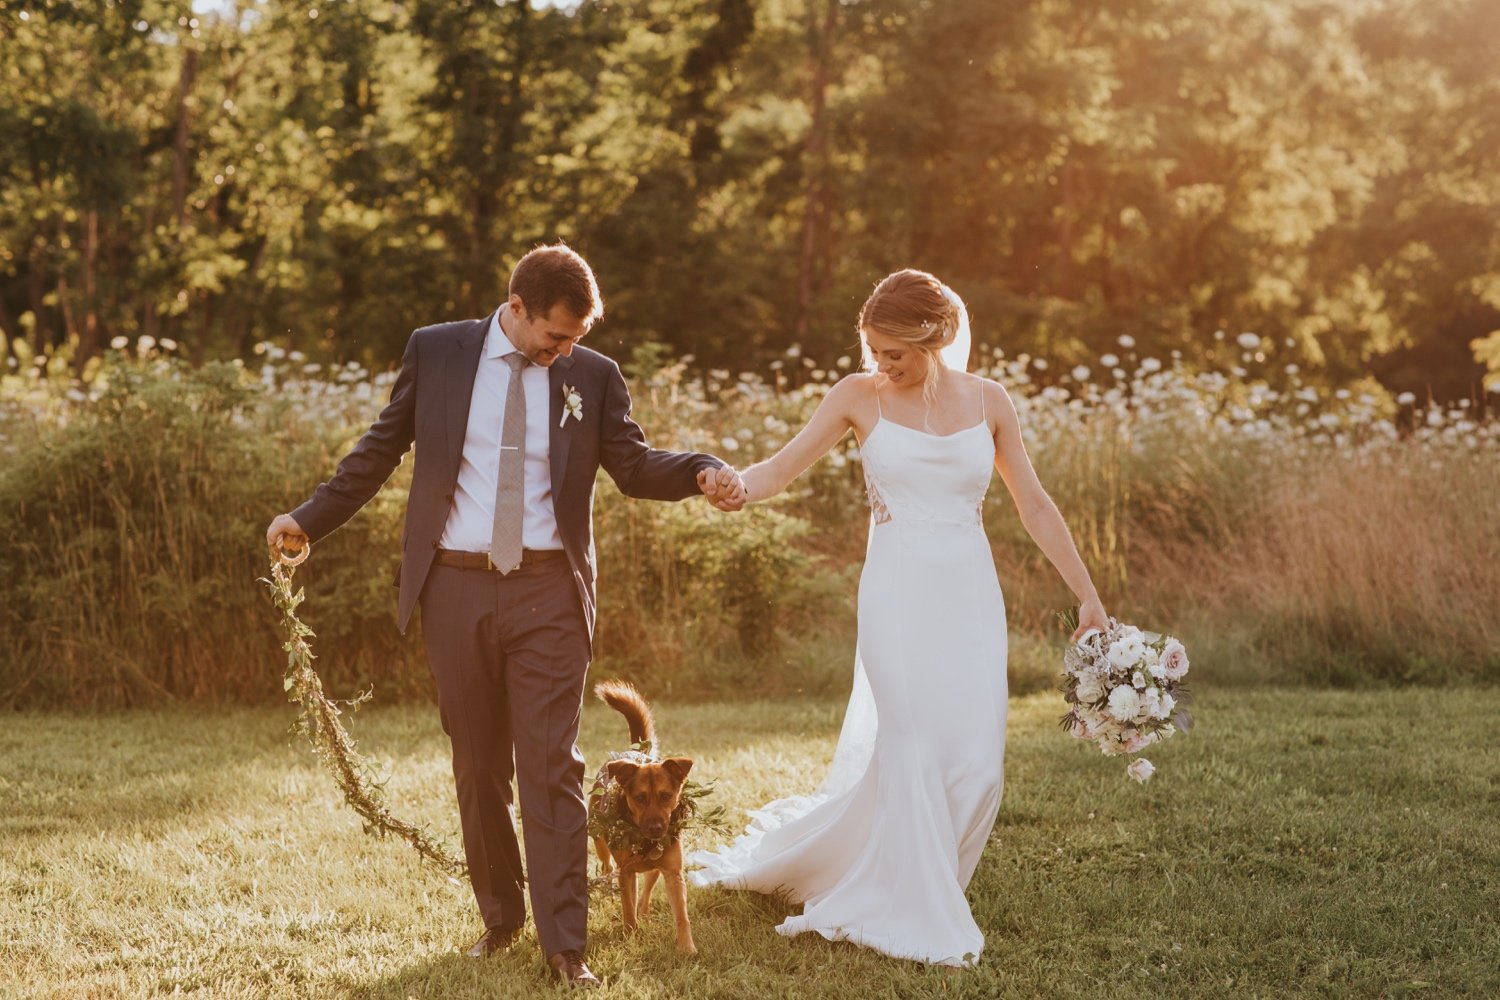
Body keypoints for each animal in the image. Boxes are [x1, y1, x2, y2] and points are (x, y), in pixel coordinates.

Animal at [591, 680, 696, 953]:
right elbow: (628, 911)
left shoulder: (673, 873)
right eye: (639, 798)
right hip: (600, 844)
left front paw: (687, 947)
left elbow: (682, 915)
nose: (656, 828)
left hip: (656, 869)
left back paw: (646, 914)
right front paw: (630, 939)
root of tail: (634, 753)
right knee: (607, 868)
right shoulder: (626, 873)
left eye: (666, 796)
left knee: (646, 892)